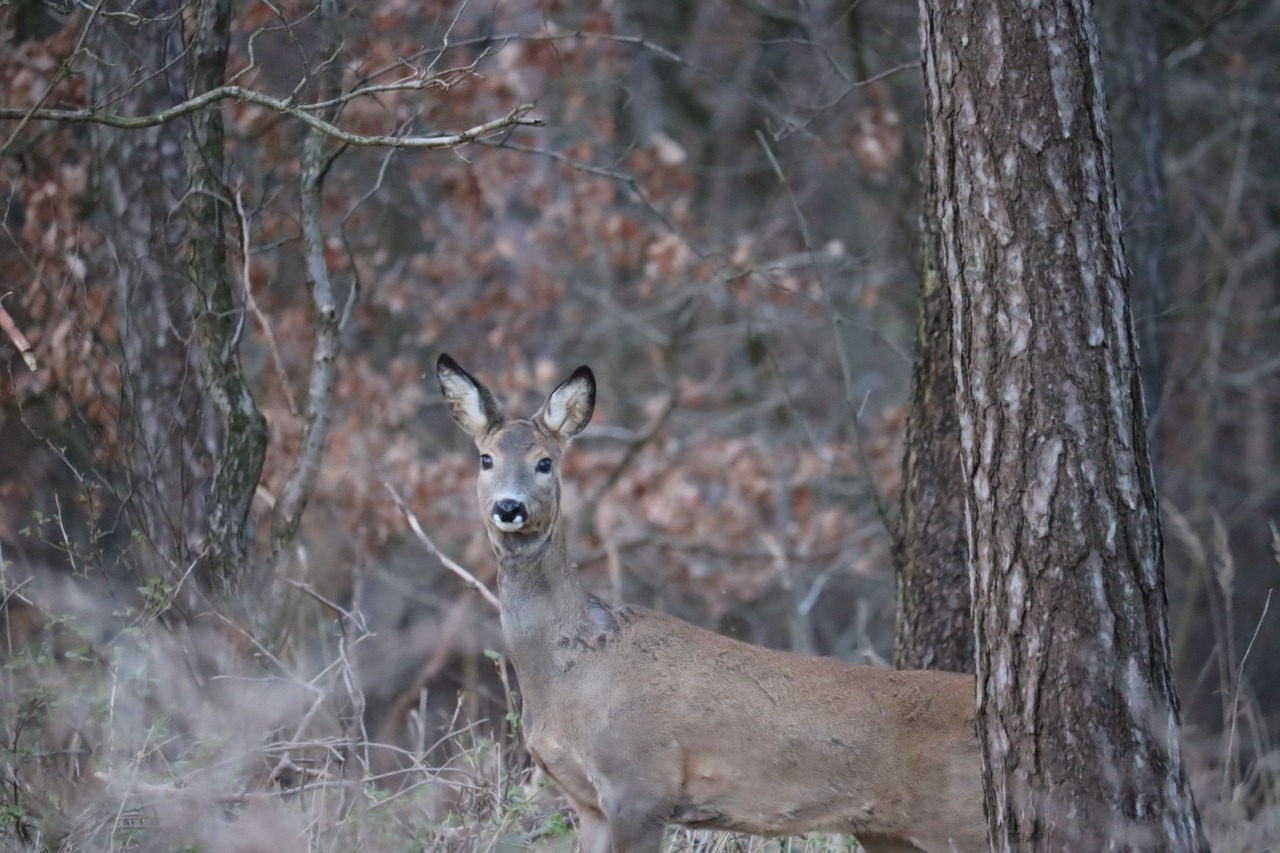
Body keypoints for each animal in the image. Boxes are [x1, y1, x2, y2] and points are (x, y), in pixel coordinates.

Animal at [435, 353, 983, 850]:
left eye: (544, 462)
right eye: (486, 458)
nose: (509, 507)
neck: (572, 669)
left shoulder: (641, 784)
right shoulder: (586, 800)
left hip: (959, 820)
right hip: (886, 832)